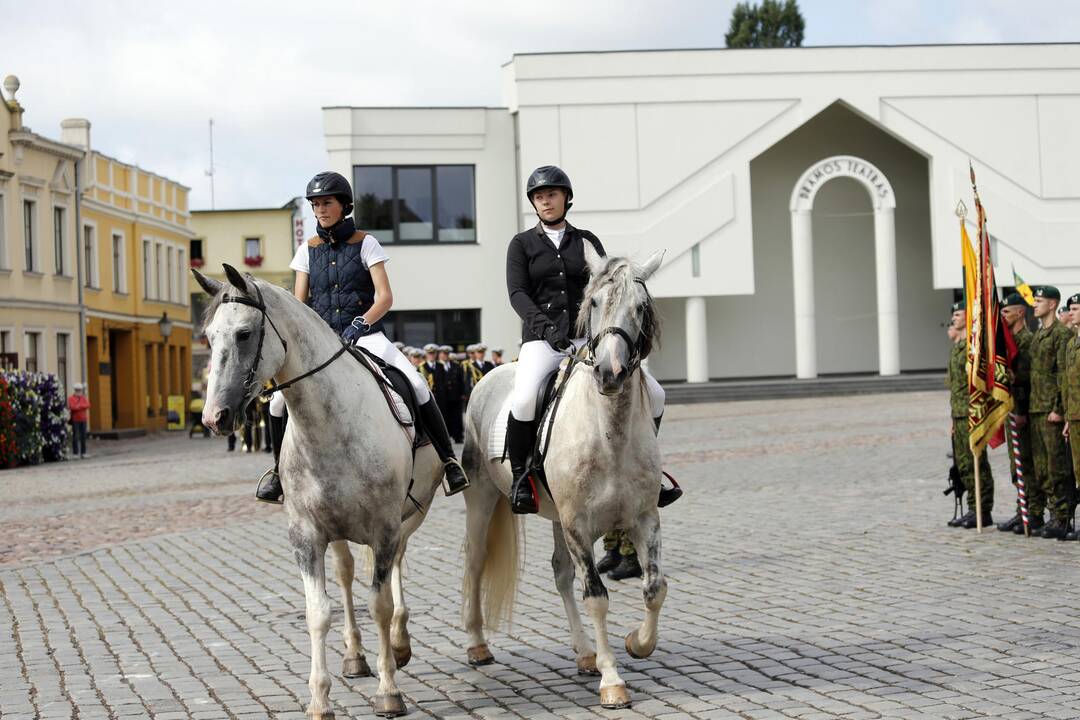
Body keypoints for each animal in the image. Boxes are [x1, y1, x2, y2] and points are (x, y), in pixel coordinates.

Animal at [195, 266, 442, 720]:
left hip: (410, 515)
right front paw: (319, 699)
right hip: (341, 529)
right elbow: (317, 612)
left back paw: (399, 644)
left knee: (396, 566)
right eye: (209, 336)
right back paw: (355, 656)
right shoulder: (306, 534)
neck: (329, 422)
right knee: (345, 576)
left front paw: (388, 691)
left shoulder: (384, 526)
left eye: (243, 334)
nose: (213, 418)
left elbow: (379, 603)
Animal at [457, 246, 665, 708]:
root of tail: (490, 375)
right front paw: (613, 681)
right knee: (477, 561)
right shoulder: (577, 524)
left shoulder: (644, 518)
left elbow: (654, 587)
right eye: (594, 302)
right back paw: (478, 645)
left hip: (555, 516)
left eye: (640, 307)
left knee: (560, 573)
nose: (610, 373)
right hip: (483, 497)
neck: (610, 433)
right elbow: (597, 597)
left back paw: (585, 654)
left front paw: (635, 644)